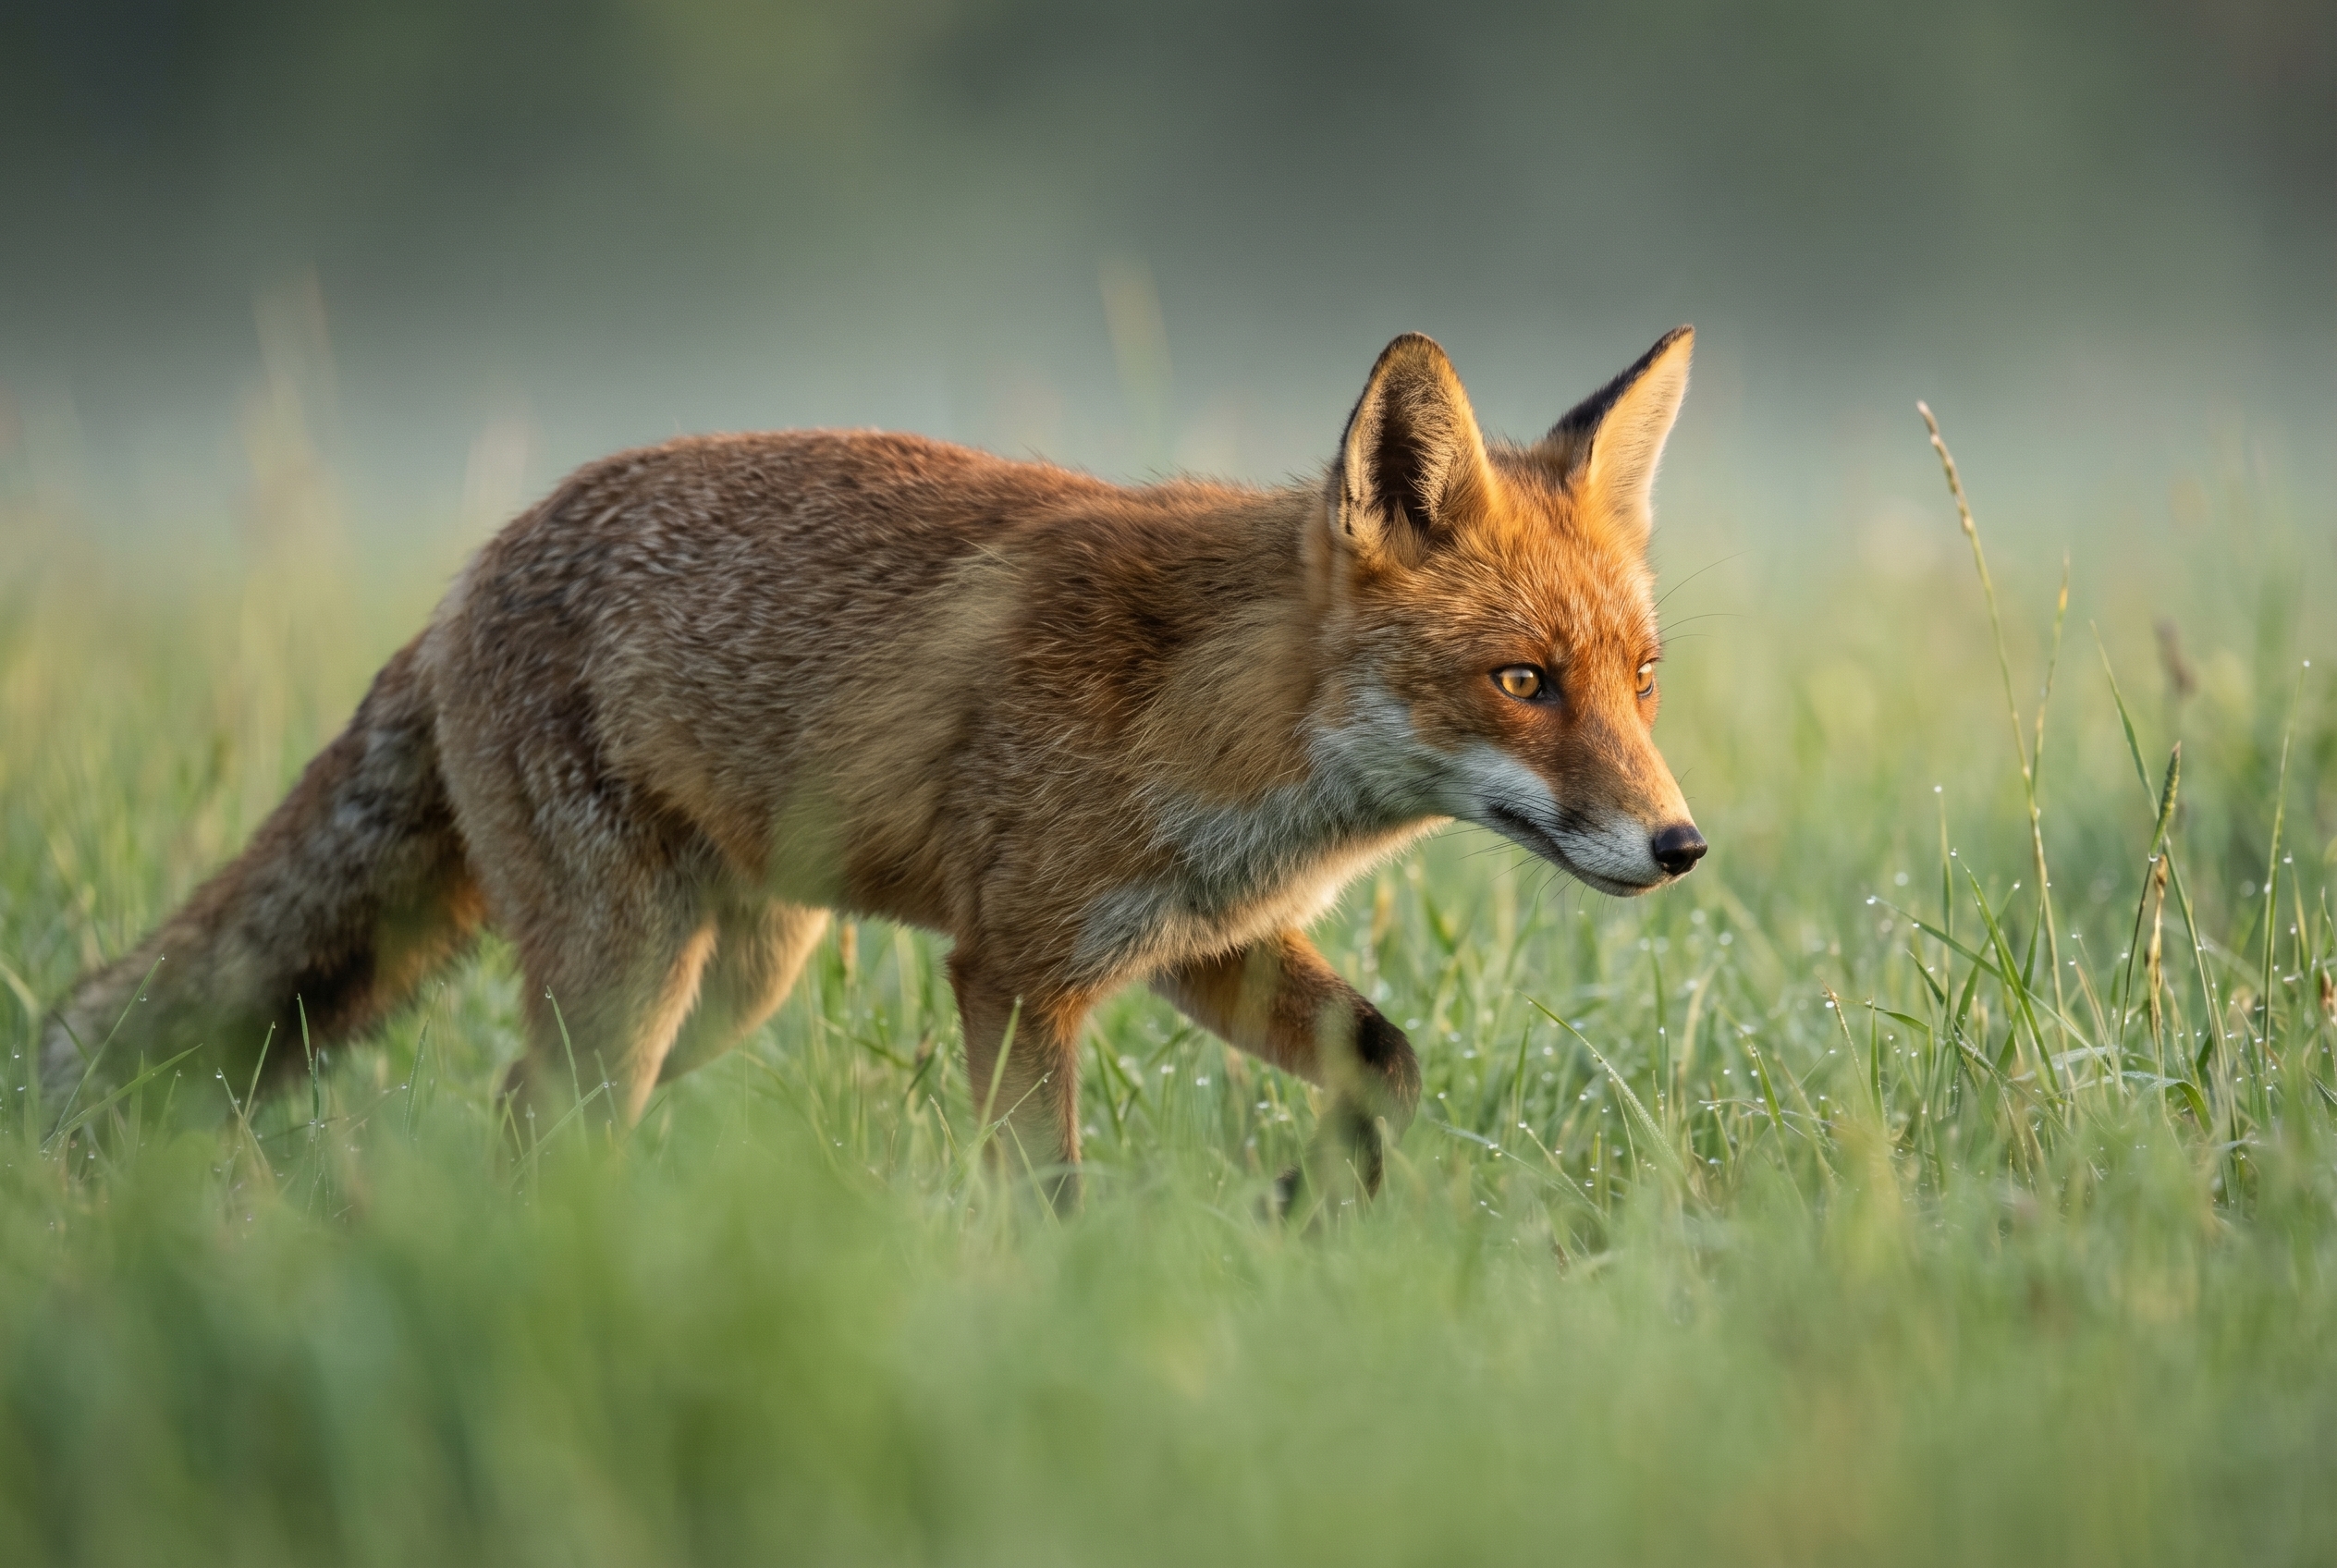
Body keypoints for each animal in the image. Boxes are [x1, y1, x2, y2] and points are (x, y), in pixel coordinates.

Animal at [42, 326, 1707, 1206]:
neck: (1219, 719)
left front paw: (1316, 1207)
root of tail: (464, 576)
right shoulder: (1018, 969)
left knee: (522, 1107)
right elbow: (1043, 1189)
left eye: (1638, 681)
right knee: (551, 1118)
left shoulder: (1200, 947)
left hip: (729, 981)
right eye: (1520, 683)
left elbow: (1388, 1063)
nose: (1679, 845)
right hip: (635, 972)